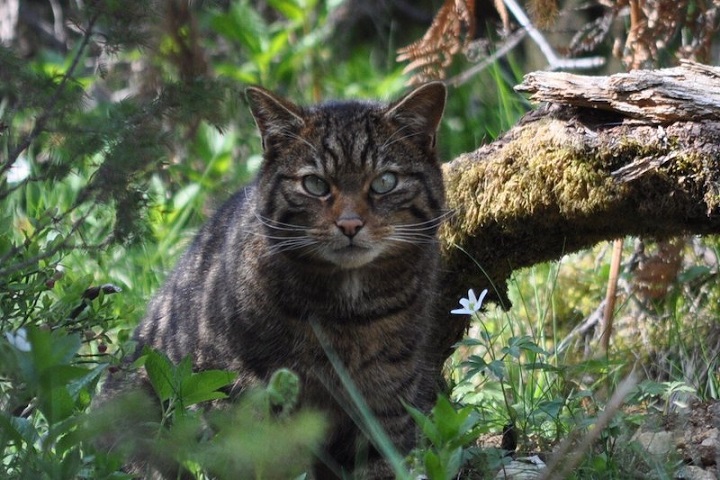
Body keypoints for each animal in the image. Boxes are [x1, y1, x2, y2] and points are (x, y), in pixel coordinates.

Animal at [104, 80, 448, 478]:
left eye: (385, 182)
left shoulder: (387, 401)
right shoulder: (237, 393)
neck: (350, 316)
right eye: (315, 184)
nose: (349, 224)